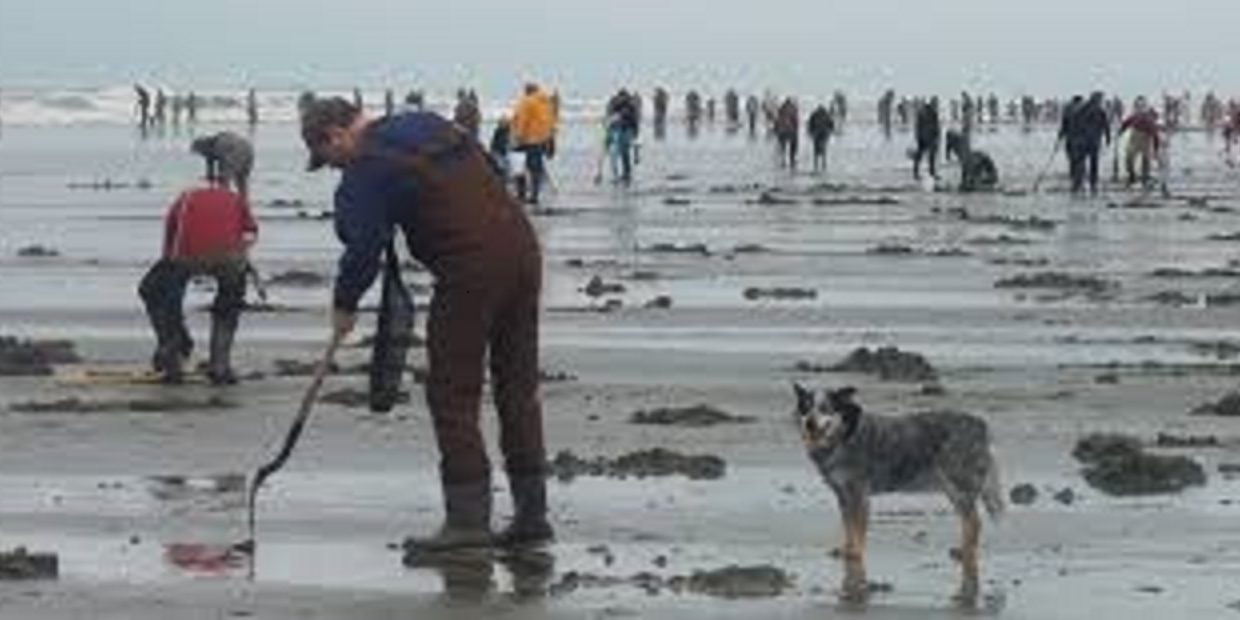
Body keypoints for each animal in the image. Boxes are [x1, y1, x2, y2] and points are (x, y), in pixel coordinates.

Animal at [793, 381, 1006, 600]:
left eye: (825, 408)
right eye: (805, 407)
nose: (809, 422)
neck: (843, 436)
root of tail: (981, 425)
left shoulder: (858, 494)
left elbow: (857, 529)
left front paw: (856, 555)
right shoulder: (843, 495)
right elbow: (848, 527)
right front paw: (847, 550)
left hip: (959, 485)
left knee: (974, 522)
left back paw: (967, 553)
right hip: (953, 490)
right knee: (969, 521)